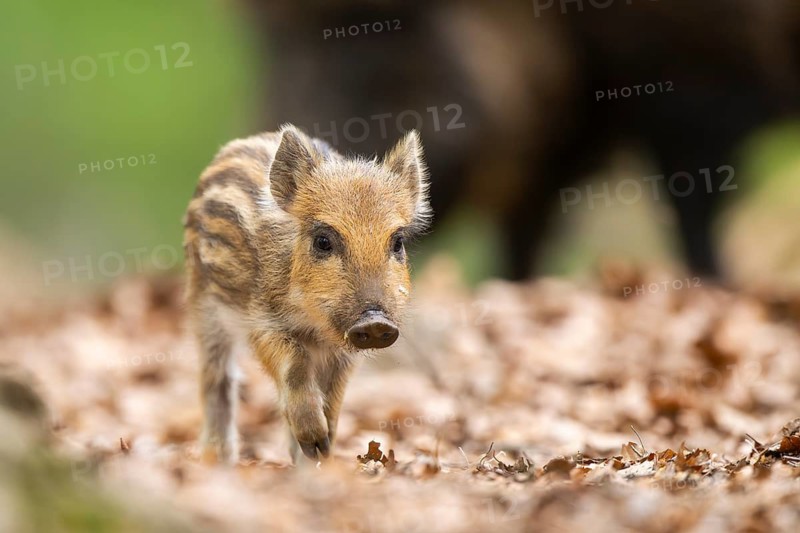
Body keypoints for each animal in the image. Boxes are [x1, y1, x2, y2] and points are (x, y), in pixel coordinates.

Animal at [183, 125, 430, 463]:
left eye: (398, 242)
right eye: (323, 241)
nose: (375, 321)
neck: (314, 323)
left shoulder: (342, 352)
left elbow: (333, 395)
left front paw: (321, 451)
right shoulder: (261, 320)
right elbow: (293, 364)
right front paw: (315, 441)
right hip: (203, 307)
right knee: (218, 381)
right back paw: (219, 461)